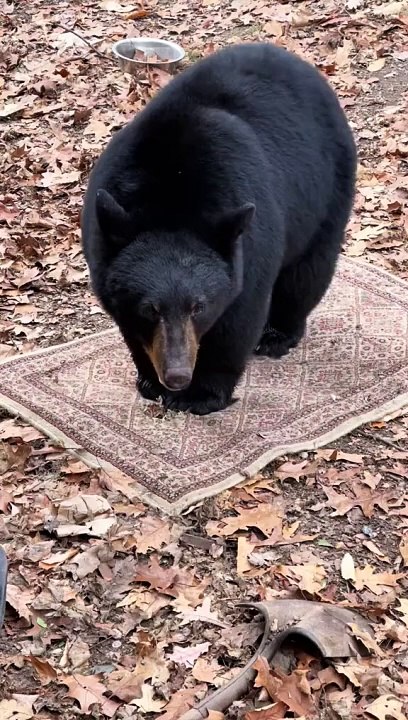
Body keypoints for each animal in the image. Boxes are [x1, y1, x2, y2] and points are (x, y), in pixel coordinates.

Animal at [81, 42, 356, 416]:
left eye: (198, 306)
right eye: (150, 308)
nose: (178, 375)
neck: (170, 199)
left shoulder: (248, 242)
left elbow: (237, 318)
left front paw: (200, 394)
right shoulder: (103, 253)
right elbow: (130, 326)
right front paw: (150, 380)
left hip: (326, 189)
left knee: (307, 271)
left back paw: (278, 333)